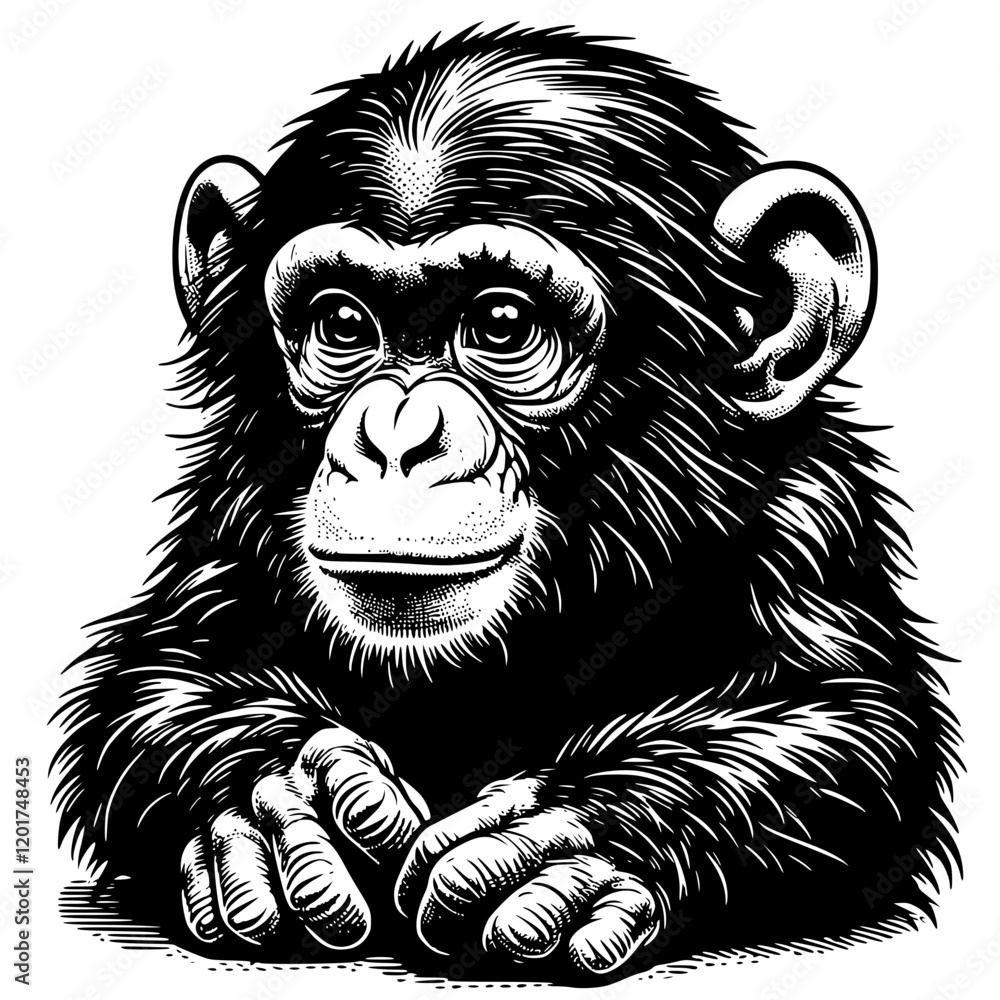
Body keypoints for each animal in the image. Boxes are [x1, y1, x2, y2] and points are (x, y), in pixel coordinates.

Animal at [54, 25, 961, 984]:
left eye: (500, 325)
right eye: (344, 325)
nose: (397, 439)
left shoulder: (806, 513)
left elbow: (849, 715)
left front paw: (573, 835)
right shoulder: (233, 513)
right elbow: (165, 675)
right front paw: (279, 806)